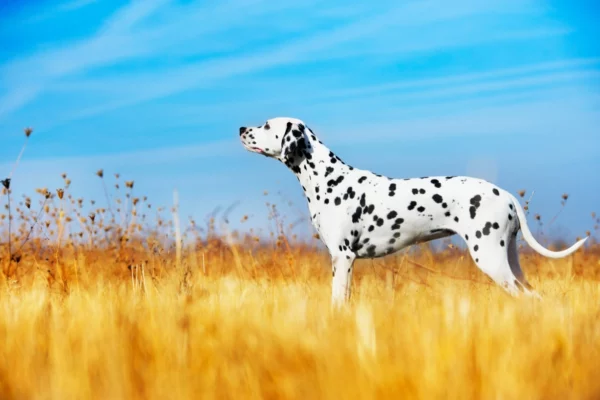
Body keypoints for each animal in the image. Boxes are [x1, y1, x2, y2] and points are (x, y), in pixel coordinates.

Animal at [238, 117, 584, 304]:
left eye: (266, 125)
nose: (241, 128)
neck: (327, 177)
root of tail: (507, 195)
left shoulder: (342, 257)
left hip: (490, 259)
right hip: (508, 260)